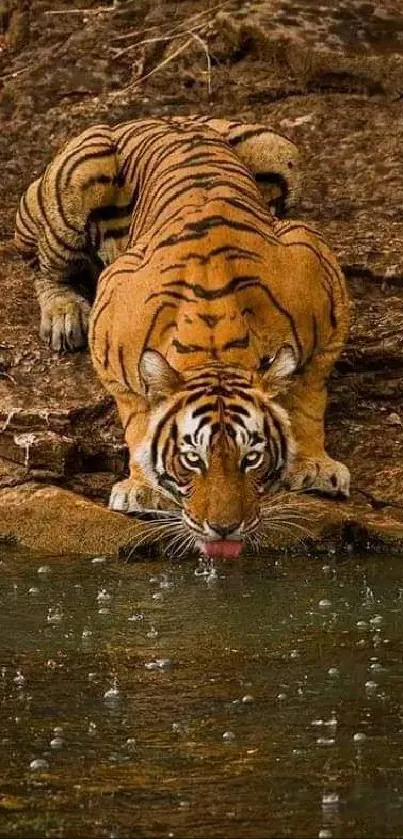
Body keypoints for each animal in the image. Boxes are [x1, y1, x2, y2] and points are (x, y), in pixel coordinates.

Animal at [15, 111, 350, 556]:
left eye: (251, 458)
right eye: (193, 459)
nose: (224, 528)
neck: (216, 345)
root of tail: (167, 116)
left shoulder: (324, 291)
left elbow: (310, 397)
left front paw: (313, 465)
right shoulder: (110, 320)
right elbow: (137, 417)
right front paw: (143, 489)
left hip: (279, 149)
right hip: (78, 181)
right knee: (44, 266)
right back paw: (63, 315)